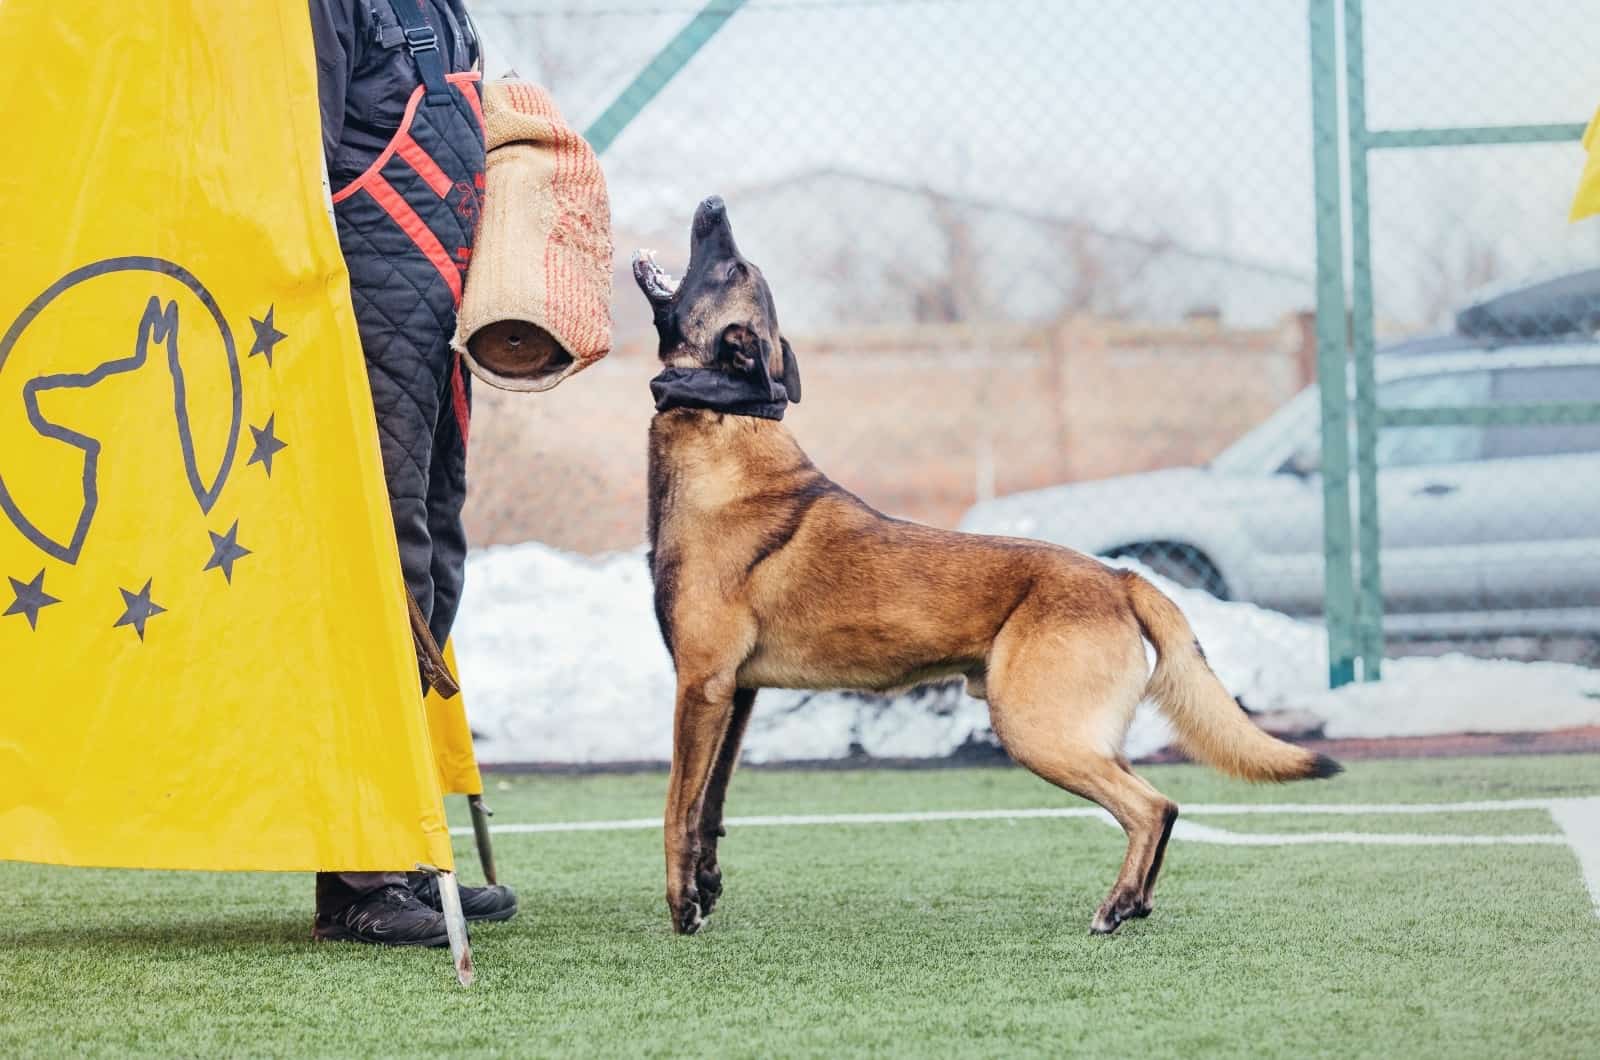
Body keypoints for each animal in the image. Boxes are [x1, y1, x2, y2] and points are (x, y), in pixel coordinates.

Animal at [630, 196, 1331, 941]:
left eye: (731, 267)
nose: (713, 205)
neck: (724, 426)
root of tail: (1116, 577)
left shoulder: (701, 686)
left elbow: (676, 808)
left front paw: (681, 907)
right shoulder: (737, 695)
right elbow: (710, 808)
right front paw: (706, 887)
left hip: (1036, 729)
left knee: (1153, 806)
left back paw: (1114, 907)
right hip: (1079, 733)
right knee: (1155, 806)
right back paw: (1134, 901)